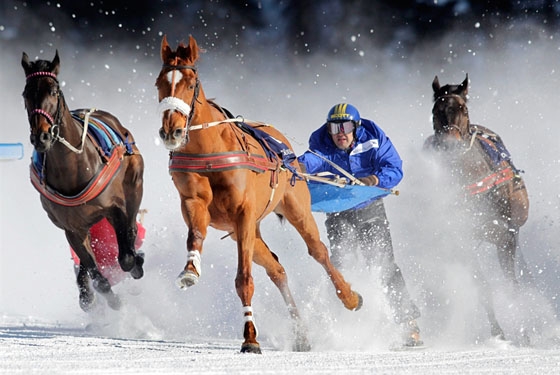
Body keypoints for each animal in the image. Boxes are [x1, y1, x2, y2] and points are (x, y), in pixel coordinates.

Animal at [21, 51, 144, 312]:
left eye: (53, 91)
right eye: (26, 93)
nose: (41, 137)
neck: (74, 168)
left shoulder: (115, 208)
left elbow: (126, 257)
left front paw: (135, 262)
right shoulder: (73, 228)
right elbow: (96, 274)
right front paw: (106, 299)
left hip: (134, 184)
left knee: (130, 230)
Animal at [155, 35, 360, 352]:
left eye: (190, 83)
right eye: (159, 84)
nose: (171, 132)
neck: (210, 151)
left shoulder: (244, 215)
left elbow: (244, 280)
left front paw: (250, 338)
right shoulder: (195, 203)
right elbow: (195, 234)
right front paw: (190, 269)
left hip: (294, 208)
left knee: (319, 251)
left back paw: (349, 297)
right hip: (249, 230)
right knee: (277, 270)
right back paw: (301, 334)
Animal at [424, 75, 528, 342]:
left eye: (463, 108)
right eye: (435, 111)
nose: (450, 144)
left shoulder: (507, 235)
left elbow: (513, 284)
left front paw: (525, 330)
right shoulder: (463, 238)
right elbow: (482, 286)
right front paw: (498, 332)